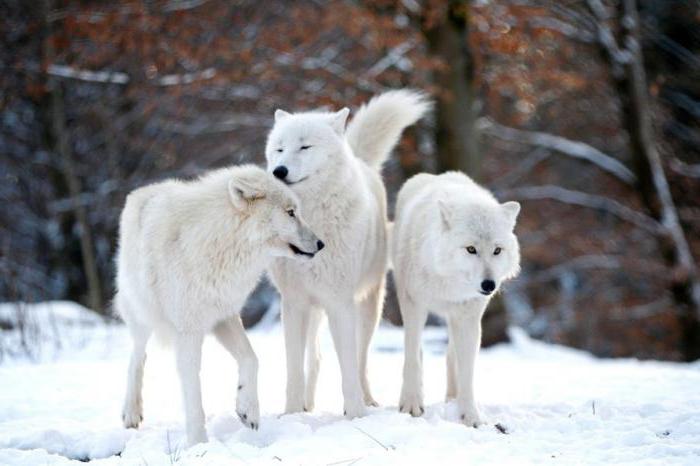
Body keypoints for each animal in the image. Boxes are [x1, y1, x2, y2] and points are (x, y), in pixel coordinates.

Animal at [115, 164, 322, 444]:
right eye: (291, 213)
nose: (321, 244)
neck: (221, 242)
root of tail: (141, 191)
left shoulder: (224, 316)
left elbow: (252, 359)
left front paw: (248, 410)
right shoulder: (189, 332)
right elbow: (193, 396)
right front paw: (198, 443)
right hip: (142, 315)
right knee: (136, 357)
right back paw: (131, 412)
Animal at [266, 89, 430, 416]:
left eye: (304, 146)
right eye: (279, 149)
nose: (279, 171)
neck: (312, 222)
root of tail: (360, 159)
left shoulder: (339, 301)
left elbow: (348, 367)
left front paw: (355, 414)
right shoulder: (294, 303)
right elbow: (294, 369)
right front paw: (291, 414)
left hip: (368, 306)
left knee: (361, 358)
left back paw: (368, 400)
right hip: (315, 310)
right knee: (315, 358)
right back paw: (307, 406)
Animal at [394, 171, 520, 426]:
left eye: (497, 250)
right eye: (471, 249)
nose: (489, 285)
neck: (448, 284)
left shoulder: (469, 318)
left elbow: (467, 372)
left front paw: (470, 416)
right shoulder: (413, 305)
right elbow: (412, 358)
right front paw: (411, 405)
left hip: (455, 320)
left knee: (450, 355)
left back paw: (452, 399)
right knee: (419, 352)